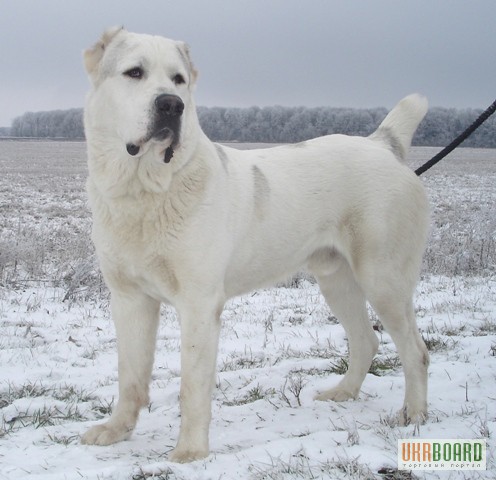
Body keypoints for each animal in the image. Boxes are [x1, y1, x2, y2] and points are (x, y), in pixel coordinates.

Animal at [81, 28, 430, 464]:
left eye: (179, 80)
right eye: (134, 72)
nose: (171, 105)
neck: (144, 189)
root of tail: (382, 145)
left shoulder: (198, 304)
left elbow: (192, 385)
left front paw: (190, 452)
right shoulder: (129, 299)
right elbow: (129, 375)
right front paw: (117, 430)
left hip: (383, 280)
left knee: (415, 350)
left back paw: (414, 414)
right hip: (337, 281)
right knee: (367, 340)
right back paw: (343, 393)